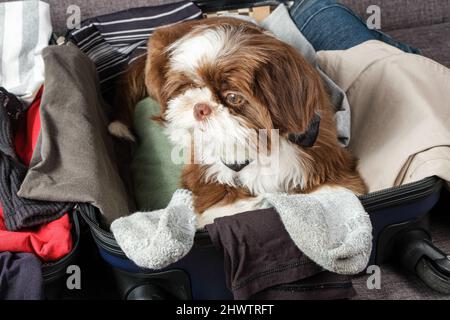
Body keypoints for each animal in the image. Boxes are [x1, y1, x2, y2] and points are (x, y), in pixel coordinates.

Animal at [110, 17, 368, 226]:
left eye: (233, 97)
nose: (200, 107)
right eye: (191, 86)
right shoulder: (205, 170)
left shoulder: (320, 151)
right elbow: (221, 203)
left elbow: (338, 190)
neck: (260, 145)